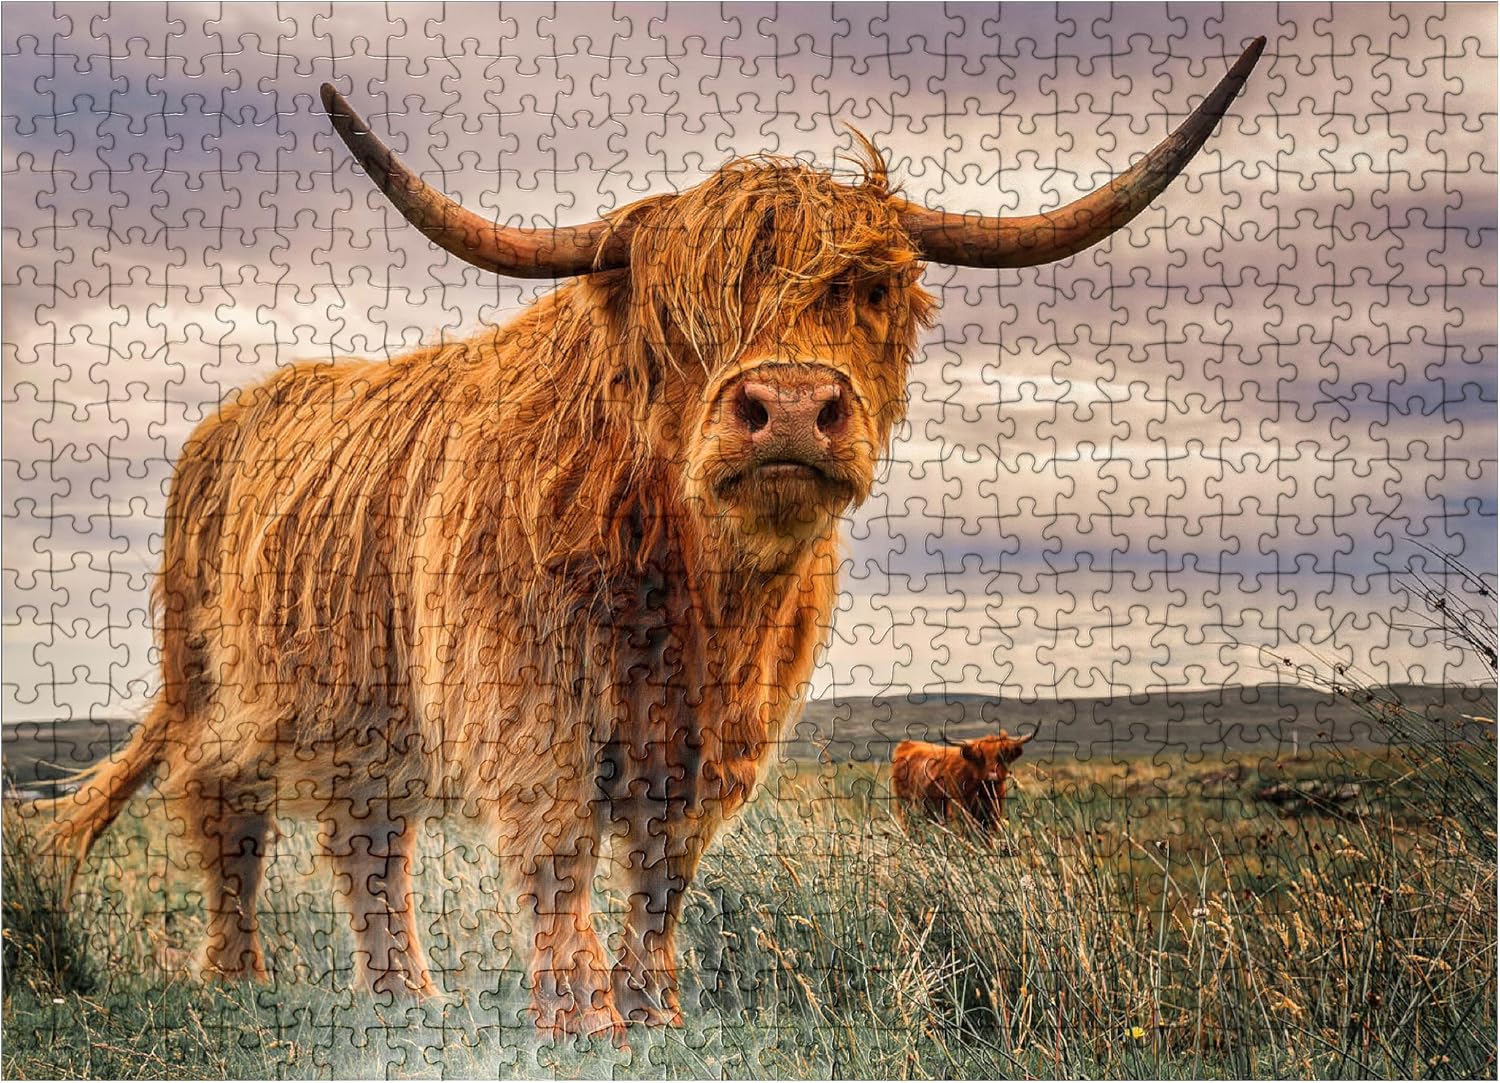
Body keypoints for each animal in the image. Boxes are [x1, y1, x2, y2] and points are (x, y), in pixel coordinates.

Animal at [890, 732, 1036, 826]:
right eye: (980, 758)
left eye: (1002, 756)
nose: (992, 776)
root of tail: (907, 745)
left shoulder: (993, 816)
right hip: (905, 809)